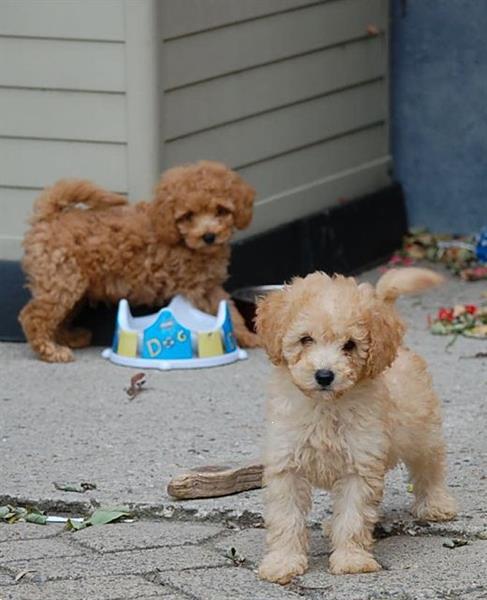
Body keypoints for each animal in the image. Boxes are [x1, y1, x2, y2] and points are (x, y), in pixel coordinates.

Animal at [20, 159, 258, 360]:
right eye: (188, 216)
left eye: (221, 210)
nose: (209, 236)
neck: (182, 240)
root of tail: (50, 217)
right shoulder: (195, 289)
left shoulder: (209, 286)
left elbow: (230, 310)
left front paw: (247, 336)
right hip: (62, 280)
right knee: (34, 316)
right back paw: (50, 350)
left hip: (71, 285)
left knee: (59, 316)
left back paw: (69, 338)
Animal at [255, 270, 458, 584]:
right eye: (305, 339)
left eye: (349, 345)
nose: (324, 375)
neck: (326, 408)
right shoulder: (286, 464)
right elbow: (286, 518)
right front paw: (283, 562)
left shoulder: (359, 467)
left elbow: (353, 517)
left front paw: (351, 560)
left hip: (423, 432)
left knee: (430, 469)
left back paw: (436, 504)